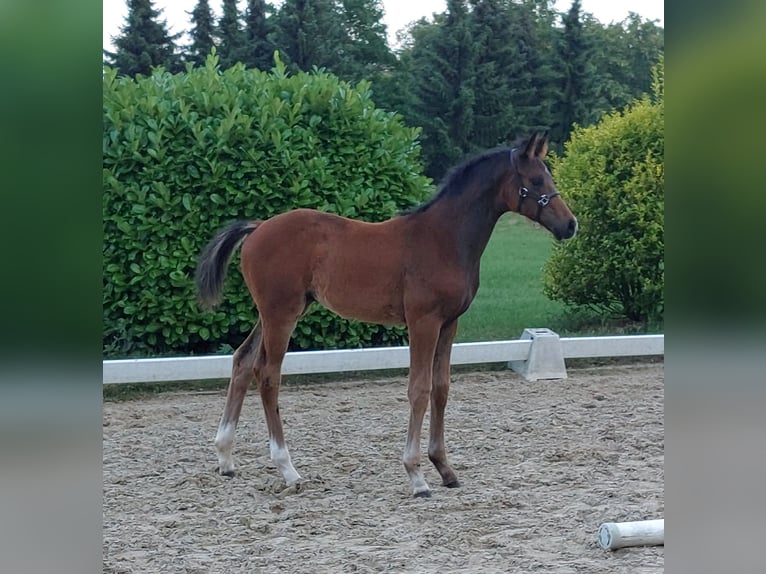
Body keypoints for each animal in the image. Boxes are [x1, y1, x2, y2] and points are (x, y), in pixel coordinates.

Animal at [195, 132, 577, 497]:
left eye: (548, 175)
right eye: (536, 180)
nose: (570, 225)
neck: (443, 238)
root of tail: (258, 227)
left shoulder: (450, 323)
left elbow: (441, 387)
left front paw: (445, 469)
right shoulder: (423, 322)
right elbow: (419, 388)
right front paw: (417, 476)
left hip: (275, 312)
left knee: (243, 361)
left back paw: (226, 458)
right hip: (281, 314)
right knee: (267, 374)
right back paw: (289, 470)